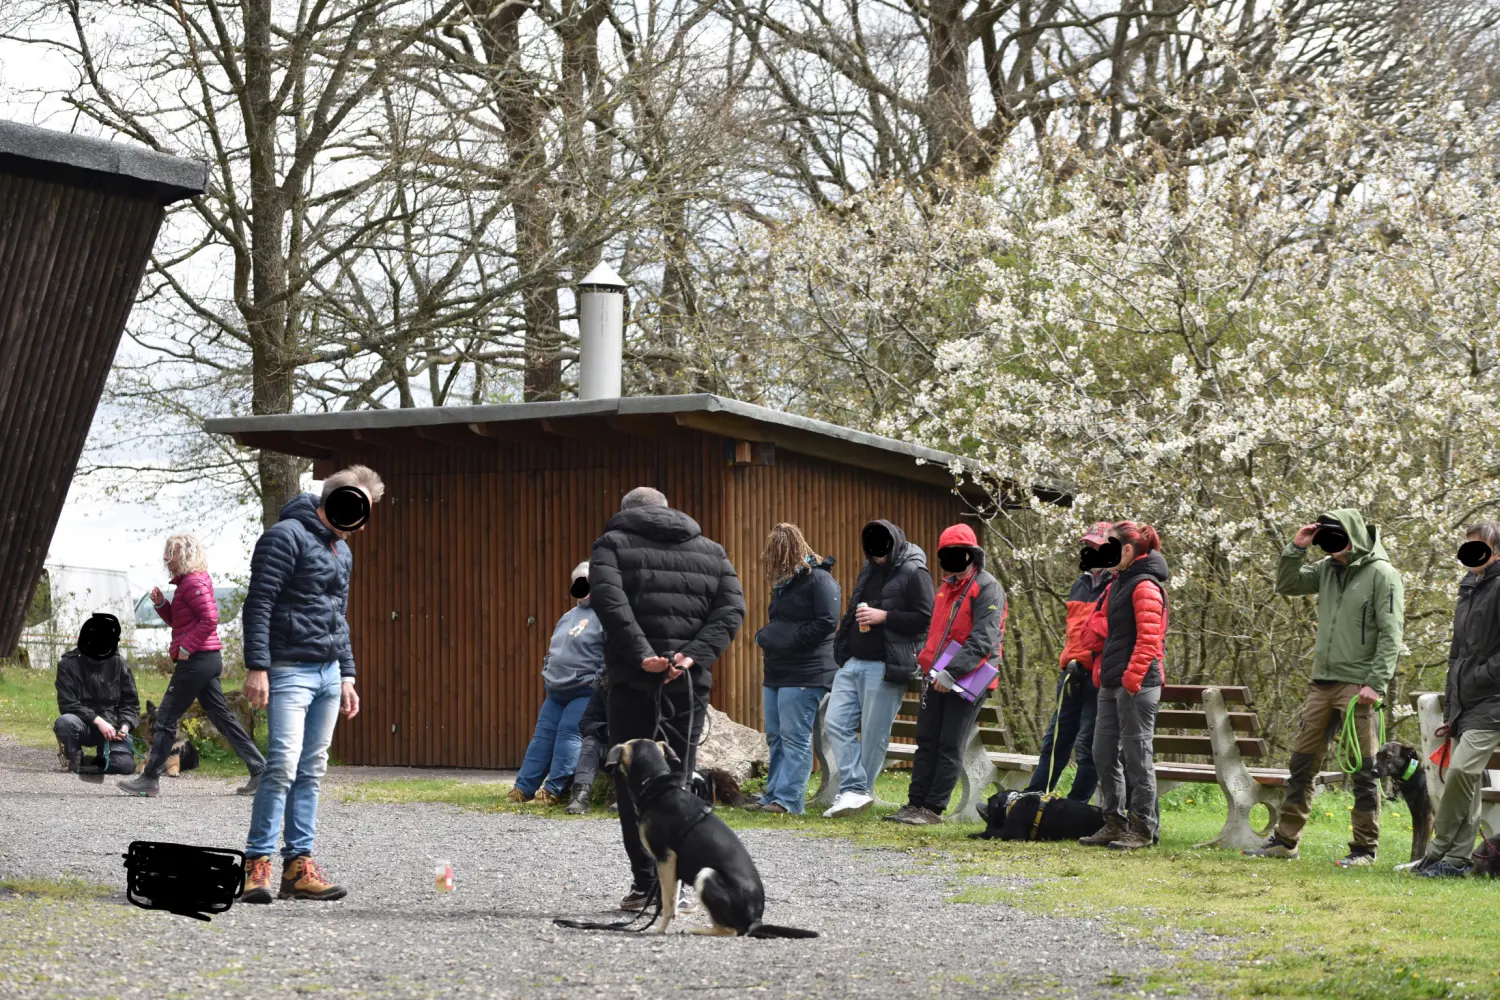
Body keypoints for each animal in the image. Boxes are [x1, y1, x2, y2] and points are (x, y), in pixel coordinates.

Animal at [606, 740, 822, 941]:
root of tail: (756, 921)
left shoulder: (664, 858)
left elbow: (667, 903)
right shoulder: (671, 864)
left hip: (706, 875)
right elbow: (673, 899)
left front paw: (658, 929)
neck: (656, 784)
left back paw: (694, 929)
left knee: (730, 930)